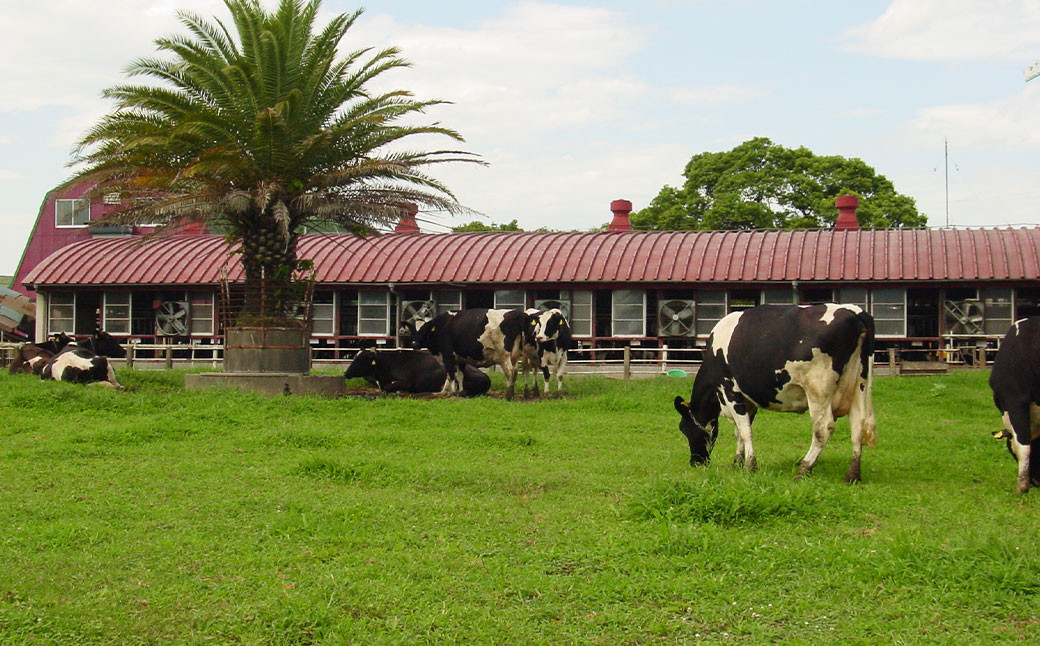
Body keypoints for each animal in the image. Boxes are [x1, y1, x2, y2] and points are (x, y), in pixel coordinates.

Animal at [673, 305, 877, 480]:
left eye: (685, 428)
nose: (695, 462)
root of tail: (855, 313)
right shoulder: (748, 400)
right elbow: (740, 431)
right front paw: (738, 462)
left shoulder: (729, 390)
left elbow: (745, 430)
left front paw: (750, 465)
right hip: (860, 385)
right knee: (858, 426)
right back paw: (852, 475)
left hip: (818, 389)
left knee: (823, 428)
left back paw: (804, 468)